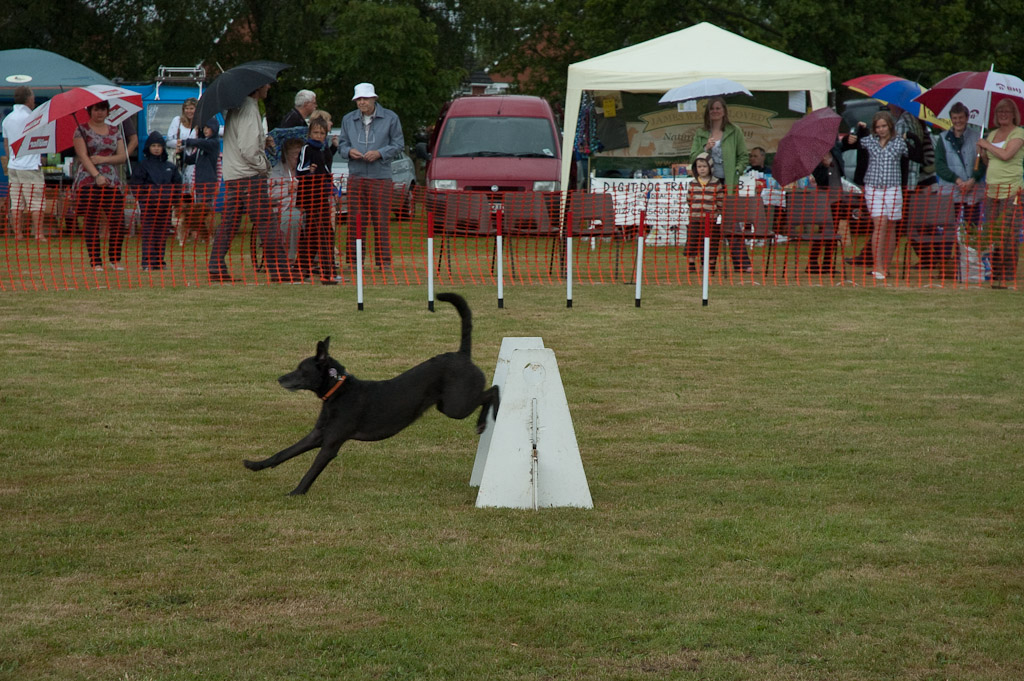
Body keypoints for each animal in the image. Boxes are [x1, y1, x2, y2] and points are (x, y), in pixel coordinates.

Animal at [239, 292, 495, 493]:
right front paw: (255, 464)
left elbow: (311, 471)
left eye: (302, 370)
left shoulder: (331, 444)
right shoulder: (317, 434)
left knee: (493, 391)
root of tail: (462, 354)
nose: (280, 379)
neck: (338, 392)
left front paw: (296, 493)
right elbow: (284, 453)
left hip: (455, 406)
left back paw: (483, 421)